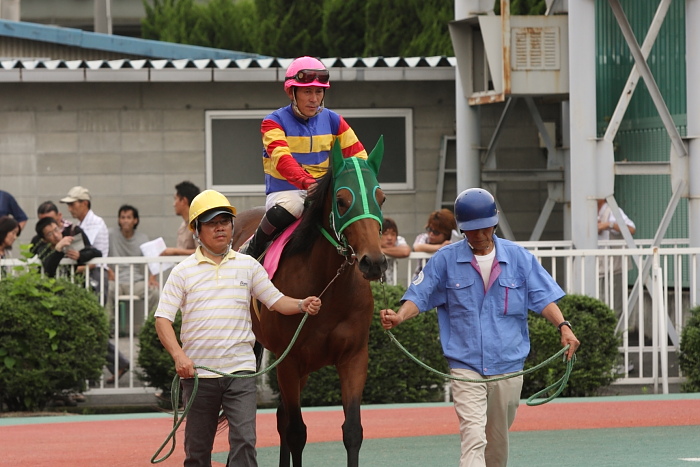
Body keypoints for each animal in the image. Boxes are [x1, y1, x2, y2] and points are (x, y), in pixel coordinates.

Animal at [234, 137, 388, 466]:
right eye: (342, 200)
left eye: (380, 198)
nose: (374, 262)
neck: (329, 290)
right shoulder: (289, 361)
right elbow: (296, 432)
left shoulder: (353, 358)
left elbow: (352, 430)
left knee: (280, 417)